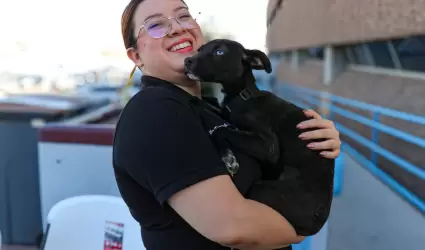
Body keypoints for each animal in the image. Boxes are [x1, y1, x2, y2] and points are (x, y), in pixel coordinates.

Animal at [185, 39, 334, 236]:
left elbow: (220, 130)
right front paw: (198, 100)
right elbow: (216, 111)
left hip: (261, 188)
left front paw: (228, 157)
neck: (242, 96)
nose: (186, 61)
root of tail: (317, 225)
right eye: (200, 49)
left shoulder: (268, 144)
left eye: (219, 52)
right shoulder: (227, 113)